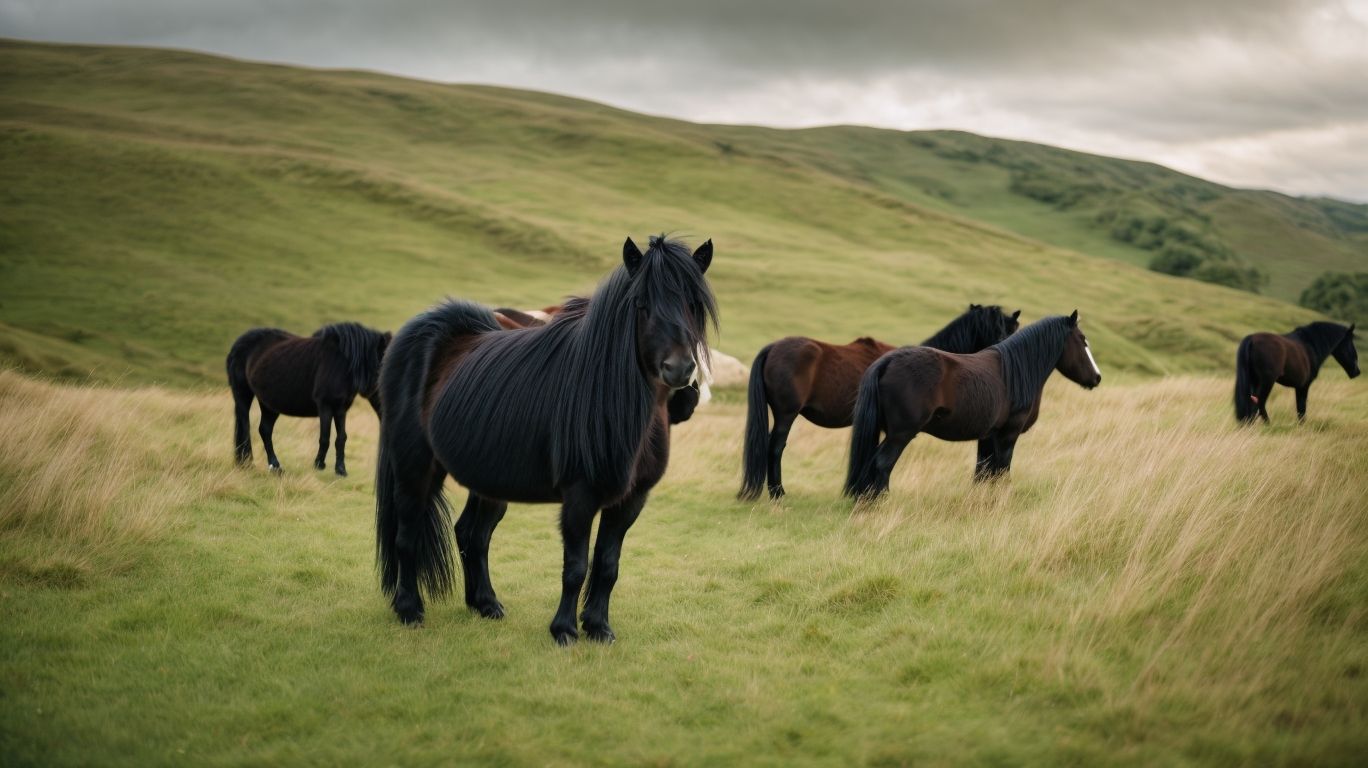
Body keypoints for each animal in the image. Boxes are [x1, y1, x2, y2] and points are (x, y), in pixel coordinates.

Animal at [226, 322, 391, 476]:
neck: (343, 365)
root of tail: (237, 345)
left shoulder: (341, 408)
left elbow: (341, 437)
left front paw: (341, 469)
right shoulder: (325, 405)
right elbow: (325, 436)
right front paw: (319, 465)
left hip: (268, 405)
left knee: (265, 430)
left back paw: (275, 466)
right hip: (243, 395)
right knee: (245, 427)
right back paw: (247, 463)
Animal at [375, 235, 717, 644]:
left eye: (694, 303)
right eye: (641, 304)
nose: (679, 369)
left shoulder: (631, 500)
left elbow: (608, 565)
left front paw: (598, 626)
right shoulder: (579, 497)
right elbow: (576, 566)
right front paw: (565, 630)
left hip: (489, 482)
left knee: (473, 534)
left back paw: (485, 604)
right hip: (415, 468)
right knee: (407, 534)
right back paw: (409, 609)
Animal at [738, 304, 1021, 500]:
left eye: (1012, 331)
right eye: (995, 331)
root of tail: (774, 347)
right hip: (786, 414)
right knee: (776, 448)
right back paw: (778, 492)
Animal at [844, 311, 1100, 499]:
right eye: (1082, 341)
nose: (1097, 378)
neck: (1014, 371)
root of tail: (888, 361)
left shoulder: (988, 436)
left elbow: (984, 471)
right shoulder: (1008, 433)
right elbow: (1002, 467)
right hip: (900, 435)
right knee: (882, 463)